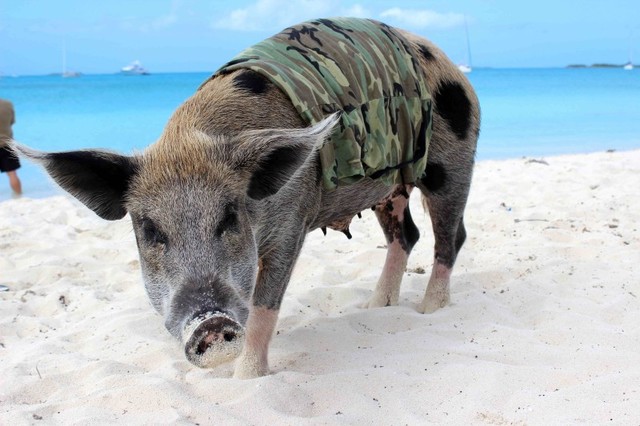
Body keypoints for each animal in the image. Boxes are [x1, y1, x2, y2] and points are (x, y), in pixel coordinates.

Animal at [14, 18, 479, 378]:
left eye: (229, 217)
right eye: (150, 229)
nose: (209, 323)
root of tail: (457, 71)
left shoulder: (293, 222)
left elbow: (263, 305)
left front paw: (246, 379)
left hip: (452, 163)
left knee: (450, 236)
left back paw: (429, 311)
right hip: (390, 188)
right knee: (408, 235)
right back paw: (376, 305)